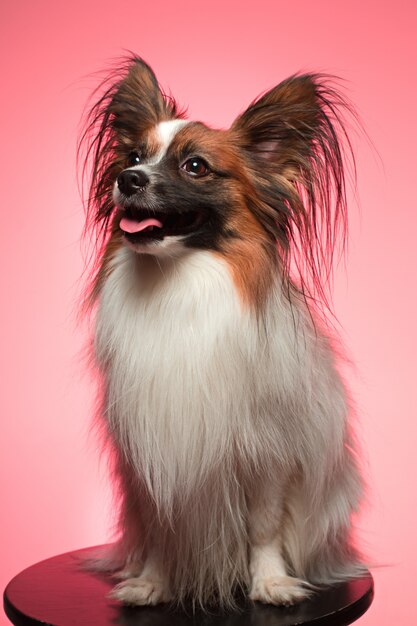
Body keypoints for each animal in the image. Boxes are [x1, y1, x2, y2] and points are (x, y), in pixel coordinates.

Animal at [78, 56, 364, 608]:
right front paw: (152, 582)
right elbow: (162, 530)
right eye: (135, 155)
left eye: (195, 166)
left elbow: (263, 528)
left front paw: (271, 583)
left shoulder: (268, 452)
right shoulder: (154, 457)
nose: (127, 178)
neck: (178, 281)